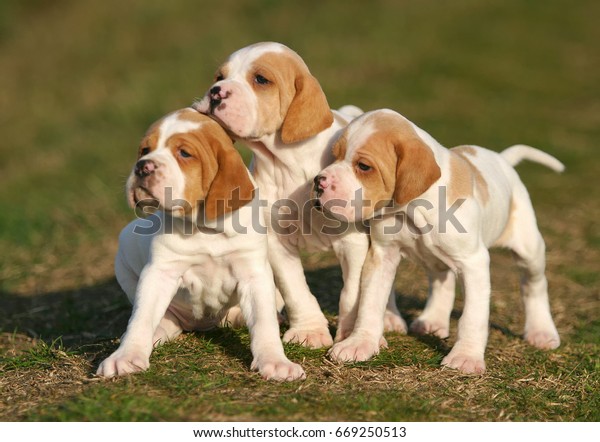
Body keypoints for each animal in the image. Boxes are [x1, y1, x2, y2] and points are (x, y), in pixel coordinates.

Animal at [98, 109, 308, 382]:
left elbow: (264, 323)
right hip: (125, 251)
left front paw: (275, 362)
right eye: (144, 150)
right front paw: (125, 356)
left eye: (185, 153)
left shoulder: (253, 273)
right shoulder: (159, 272)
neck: (205, 228)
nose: (142, 166)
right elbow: (141, 318)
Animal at [195, 41, 406, 348]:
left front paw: (352, 335)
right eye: (219, 77)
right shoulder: (276, 241)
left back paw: (389, 318)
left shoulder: (352, 242)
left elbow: (353, 294)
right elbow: (295, 289)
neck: (287, 163)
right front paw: (310, 330)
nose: (215, 92)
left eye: (261, 79)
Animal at [314, 108, 564, 372]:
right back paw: (432, 321)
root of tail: (502, 159)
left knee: (534, 286)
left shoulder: (473, 263)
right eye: (334, 156)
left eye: (363, 166)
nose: (318, 182)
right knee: (442, 280)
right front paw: (360, 343)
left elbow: (472, 317)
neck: (412, 209)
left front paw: (466, 358)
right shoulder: (383, 255)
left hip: (529, 250)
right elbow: (370, 304)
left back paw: (541, 332)